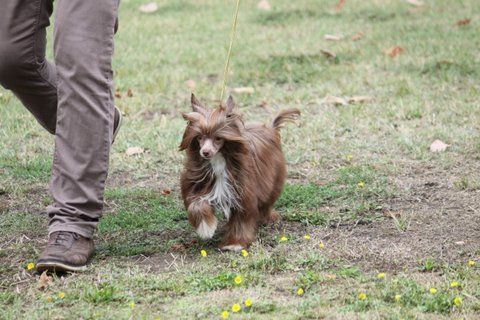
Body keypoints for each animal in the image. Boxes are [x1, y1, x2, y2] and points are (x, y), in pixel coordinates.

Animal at [180, 94, 300, 251]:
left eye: (218, 138)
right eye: (199, 137)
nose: (205, 152)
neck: (219, 159)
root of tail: (272, 130)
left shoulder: (243, 192)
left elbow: (242, 219)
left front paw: (234, 243)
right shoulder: (198, 183)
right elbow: (196, 205)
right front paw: (206, 228)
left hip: (273, 178)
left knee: (267, 202)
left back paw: (266, 218)